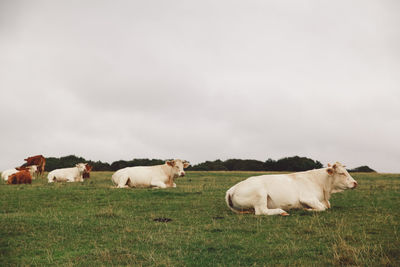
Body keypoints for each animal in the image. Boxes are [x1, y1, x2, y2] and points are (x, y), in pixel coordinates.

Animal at [225, 162, 360, 217]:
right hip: (260, 195)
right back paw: (281, 211)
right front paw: (307, 209)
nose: (355, 183)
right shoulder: (307, 198)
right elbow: (322, 208)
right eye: (342, 173)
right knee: (261, 211)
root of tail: (232, 189)